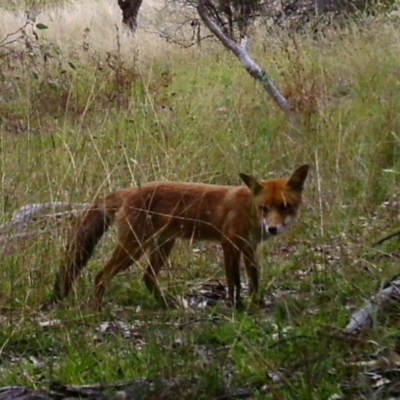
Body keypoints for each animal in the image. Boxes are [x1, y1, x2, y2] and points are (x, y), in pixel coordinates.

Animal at [47, 165, 310, 310]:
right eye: (264, 208)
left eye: (286, 207)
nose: (272, 229)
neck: (248, 210)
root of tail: (128, 190)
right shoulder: (229, 244)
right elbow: (234, 281)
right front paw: (236, 307)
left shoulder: (249, 248)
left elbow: (254, 280)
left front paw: (256, 304)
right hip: (135, 247)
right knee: (102, 276)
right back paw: (99, 308)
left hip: (163, 245)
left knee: (147, 278)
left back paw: (166, 305)